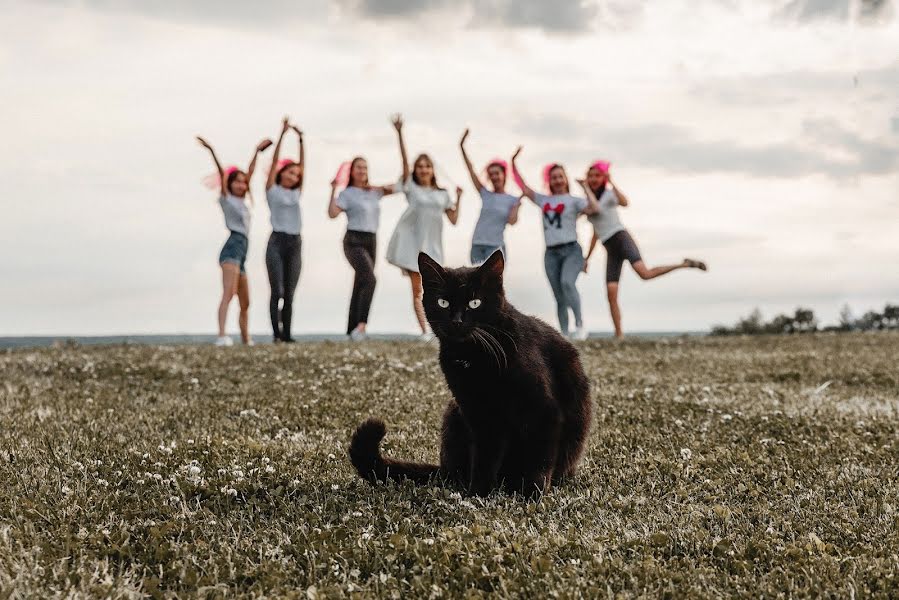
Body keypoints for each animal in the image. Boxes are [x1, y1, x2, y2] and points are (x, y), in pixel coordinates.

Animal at [348, 251, 596, 494]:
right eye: (443, 302)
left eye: (475, 302)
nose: (457, 321)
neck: (474, 358)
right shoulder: (477, 412)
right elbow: (485, 457)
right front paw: (478, 493)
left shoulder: (544, 410)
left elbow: (539, 458)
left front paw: (532, 493)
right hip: (454, 414)